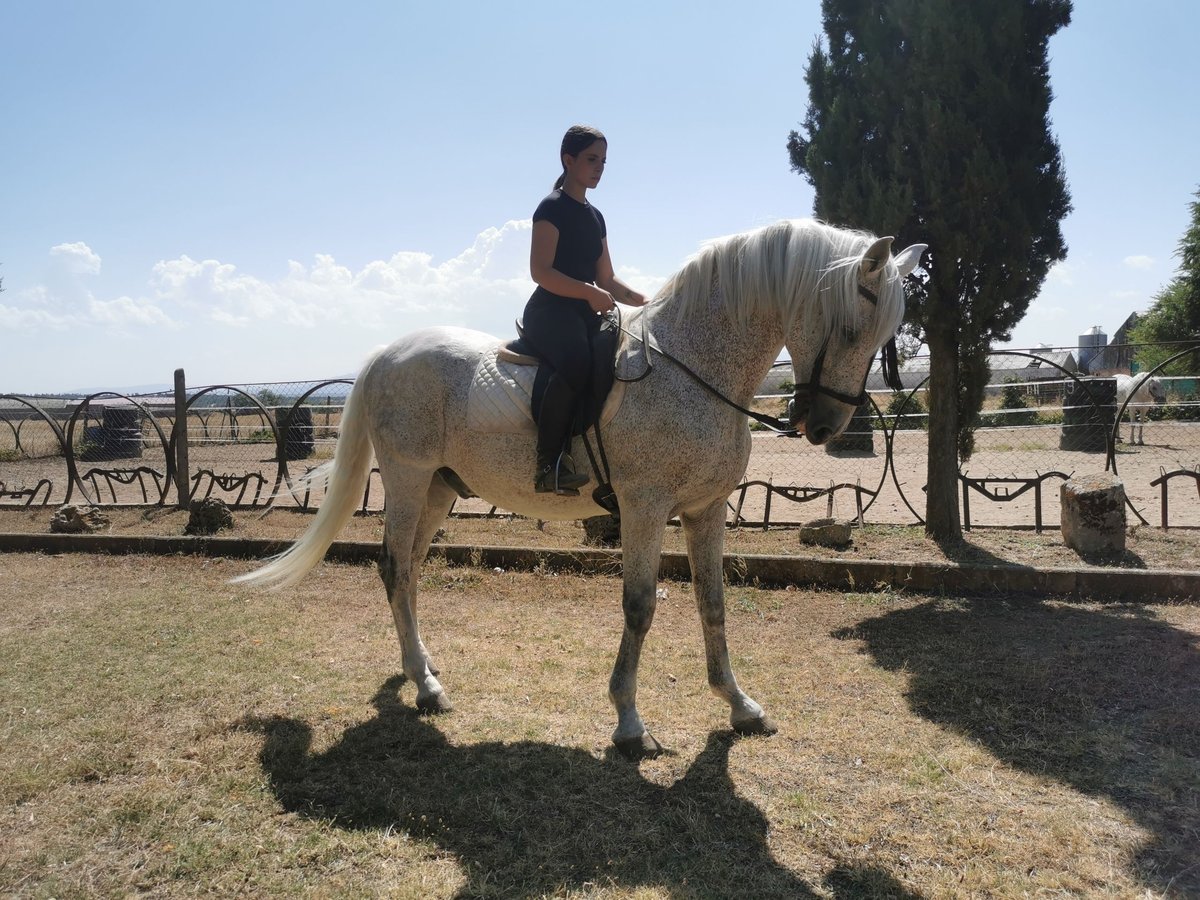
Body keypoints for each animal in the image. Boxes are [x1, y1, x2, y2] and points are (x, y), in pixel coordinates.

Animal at [236, 218, 926, 763]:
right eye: (850, 327)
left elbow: (713, 603)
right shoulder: (646, 507)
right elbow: (641, 606)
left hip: (438, 490)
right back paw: (426, 687)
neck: (693, 368)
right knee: (395, 567)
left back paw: (423, 670)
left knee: (408, 572)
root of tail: (386, 353)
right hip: (406, 479)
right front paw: (629, 724)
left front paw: (739, 704)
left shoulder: (705, 511)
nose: (826, 425)